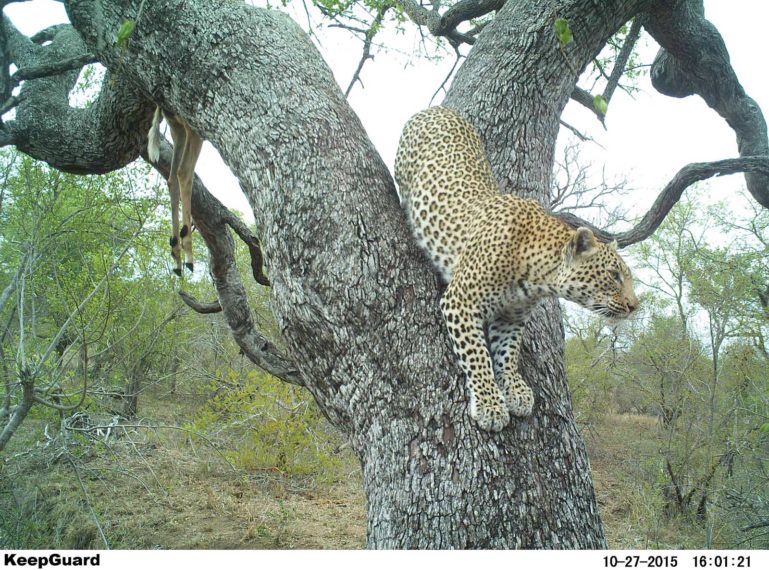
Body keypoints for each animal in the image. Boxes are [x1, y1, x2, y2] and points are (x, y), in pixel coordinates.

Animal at [392, 105, 640, 430]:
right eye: (614, 276)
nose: (635, 306)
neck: (539, 276)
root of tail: (437, 108)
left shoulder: (511, 317)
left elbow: (507, 353)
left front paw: (516, 390)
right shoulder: (461, 301)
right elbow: (477, 355)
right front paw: (490, 404)